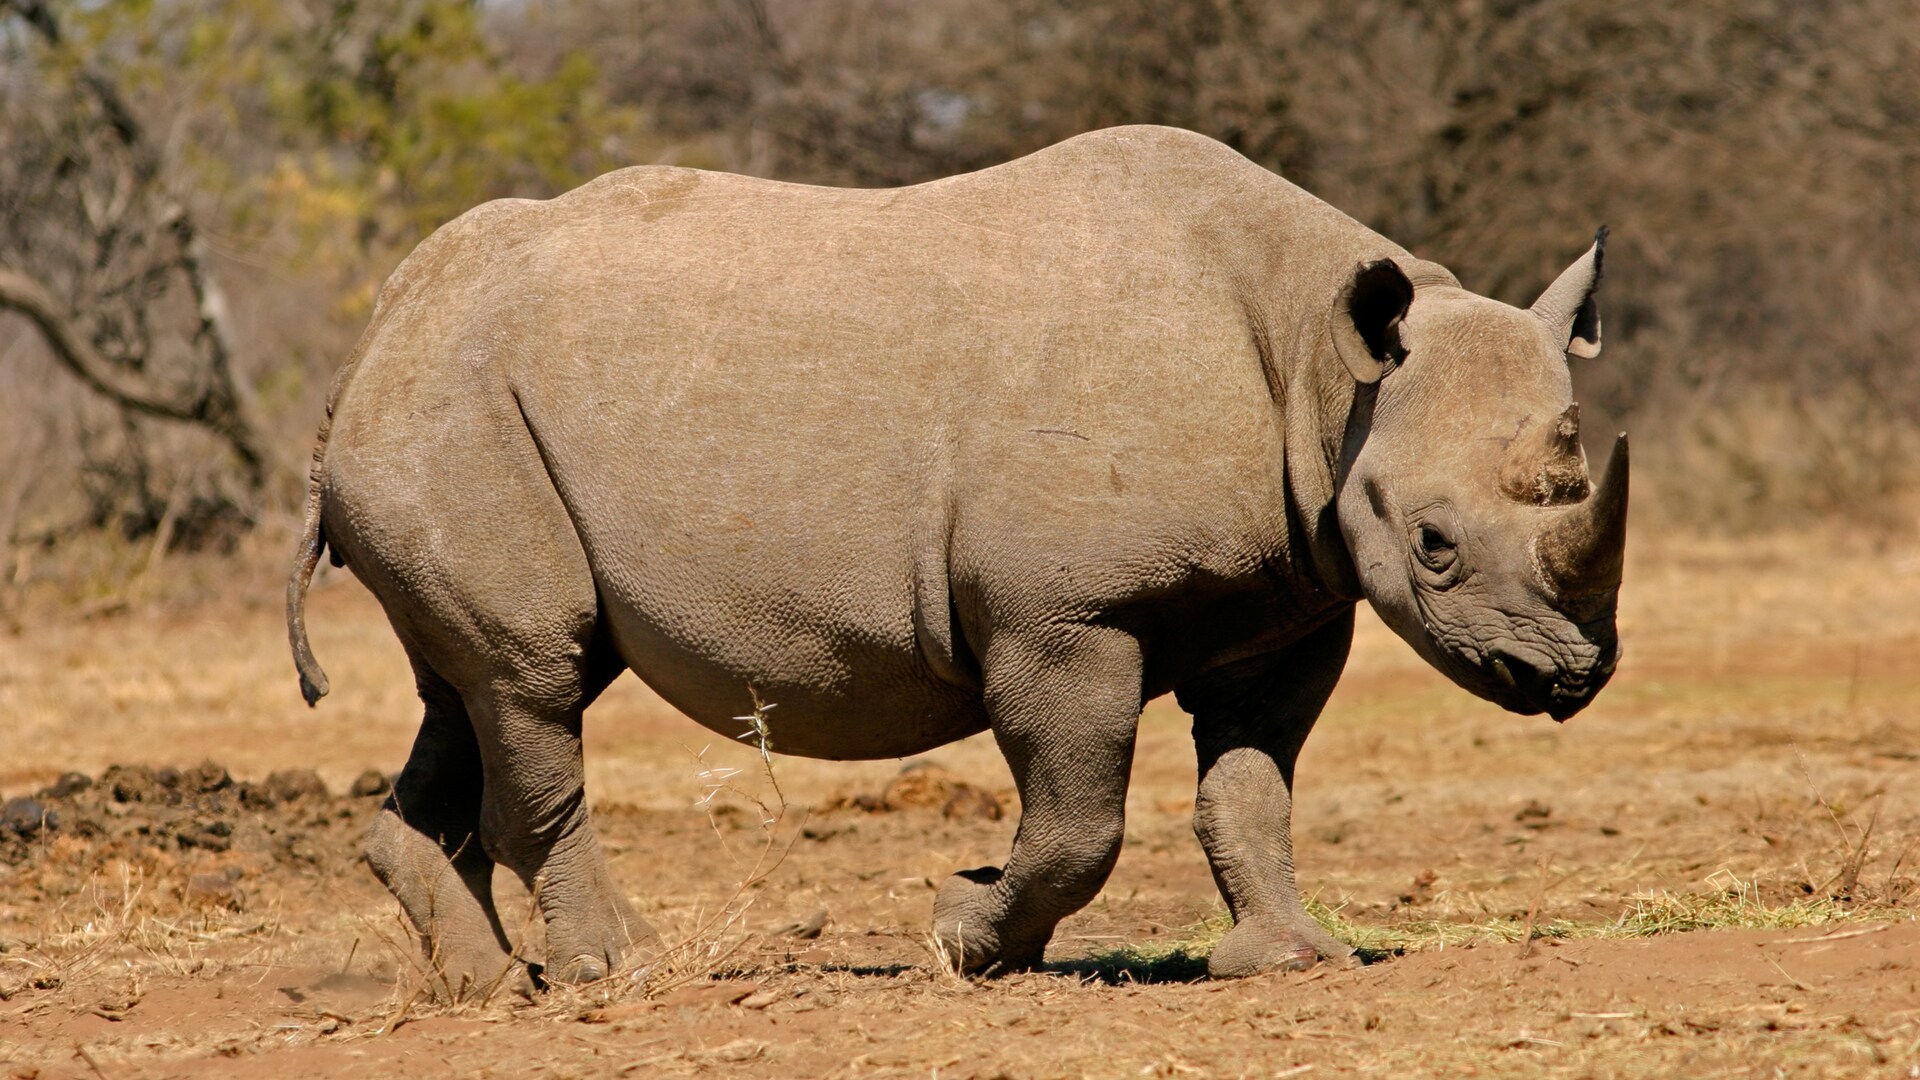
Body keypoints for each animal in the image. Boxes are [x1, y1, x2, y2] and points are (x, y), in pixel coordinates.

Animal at [286, 125, 1626, 996]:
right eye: (1436, 547)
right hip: (450, 418)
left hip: (449, 412)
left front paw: (1289, 963)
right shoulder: (1060, 613)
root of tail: (377, 329)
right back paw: (619, 975)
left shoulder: (1286, 600)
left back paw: (485, 990)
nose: (1571, 677)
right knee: (532, 681)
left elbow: (1250, 786)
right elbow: (1080, 815)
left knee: (471, 689)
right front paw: (966, 932)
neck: (1321, 370)